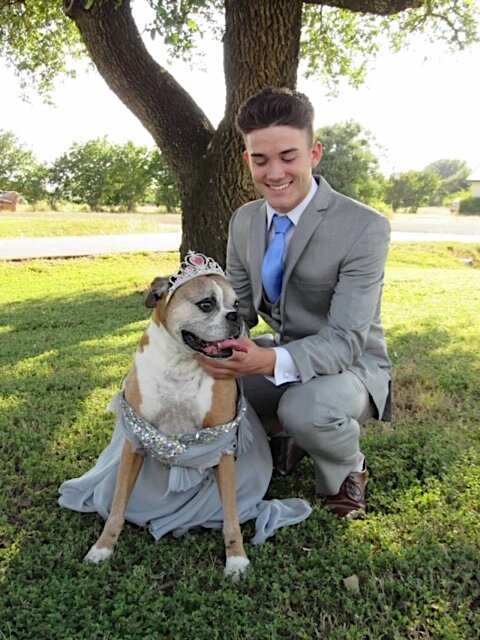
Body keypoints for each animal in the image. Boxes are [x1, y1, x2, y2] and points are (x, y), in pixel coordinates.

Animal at [83, 252, 250, 580]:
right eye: (206, 304)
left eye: (236, 304)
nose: (236, 317)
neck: (180, 363)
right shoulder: (135, 440)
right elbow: (118, 506)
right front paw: (103, 547)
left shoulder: (222, 446)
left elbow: (231, 516)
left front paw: (236, 559)